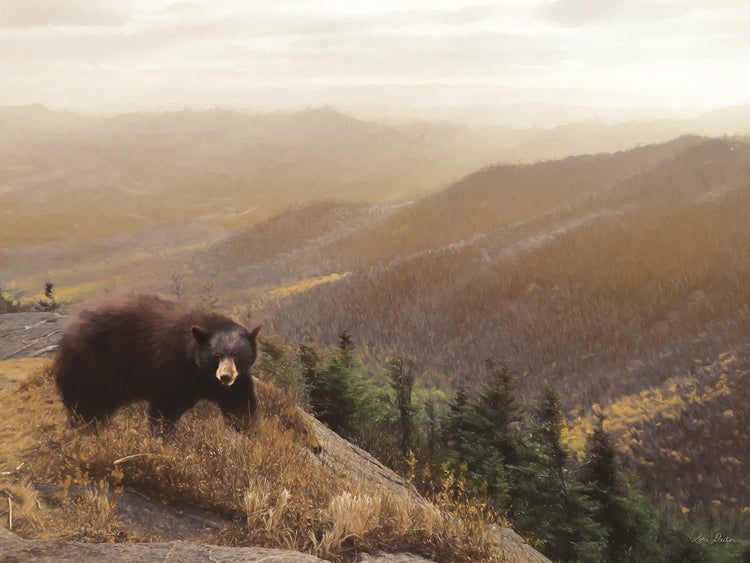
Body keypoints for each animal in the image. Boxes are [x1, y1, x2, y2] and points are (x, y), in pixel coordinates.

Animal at [53, 292, 262, 432]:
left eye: (236, 354)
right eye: (216, 355)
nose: (225, 376)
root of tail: (68, 329)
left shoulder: (236, 380)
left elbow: (240, 404)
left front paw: (245, 432)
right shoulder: (173, 370)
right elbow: (165, 409)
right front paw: (165, 437)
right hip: (90, 369)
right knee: (85, 406)